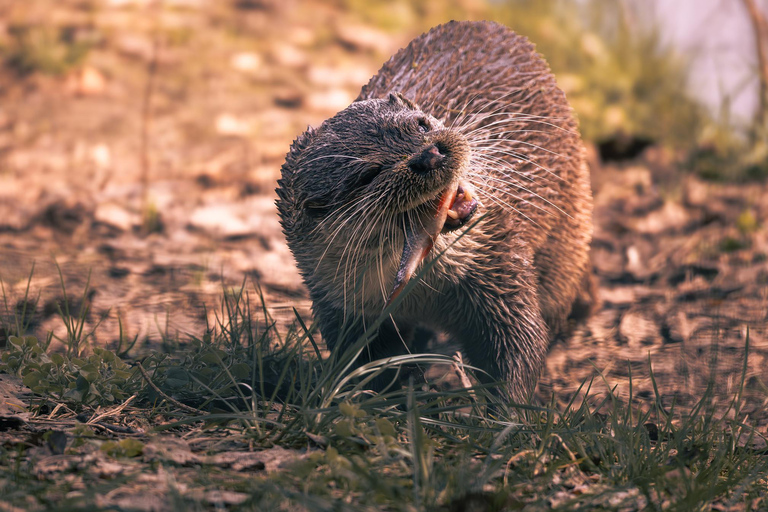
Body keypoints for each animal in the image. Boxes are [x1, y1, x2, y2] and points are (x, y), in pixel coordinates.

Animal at [276, 21, 592, 401]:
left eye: (421, 124)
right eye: (368, 174)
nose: (429, 154)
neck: (423, 296)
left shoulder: (498, 267)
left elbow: (518, 344)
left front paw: (508, 410)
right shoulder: (341, 307)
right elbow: (366, 365)